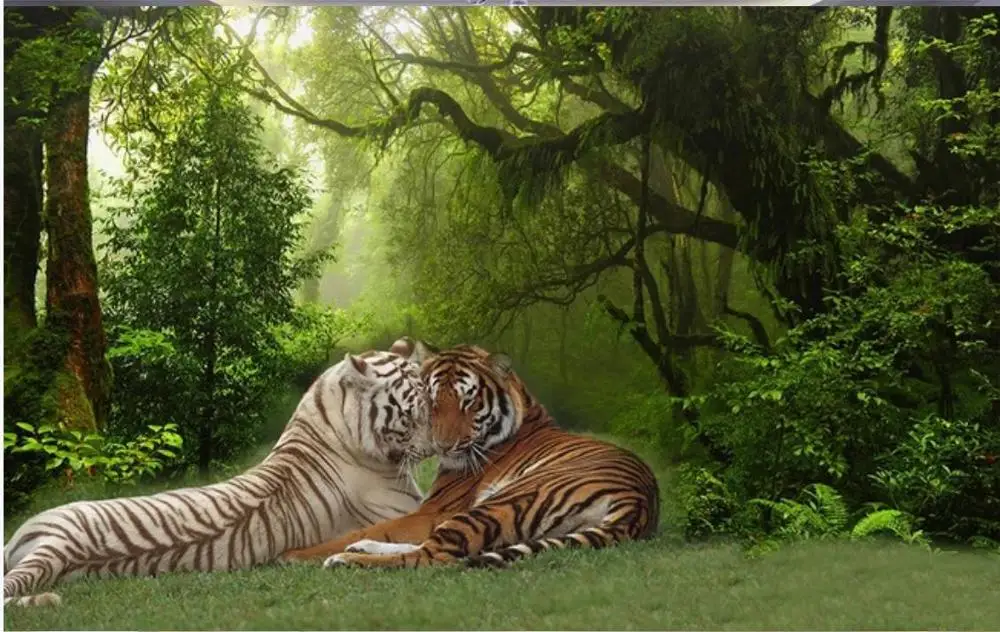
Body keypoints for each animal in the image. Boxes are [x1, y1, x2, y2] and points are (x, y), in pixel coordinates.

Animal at [280, 343, 660, 569]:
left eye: (469, 402)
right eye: (432, 401)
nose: (442, 446)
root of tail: (639, 502)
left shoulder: (436, 510)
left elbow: (372, 528)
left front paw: (295, 554)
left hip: (502, 502)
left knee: (432, 556)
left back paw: (345, 559)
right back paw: (359, 551)